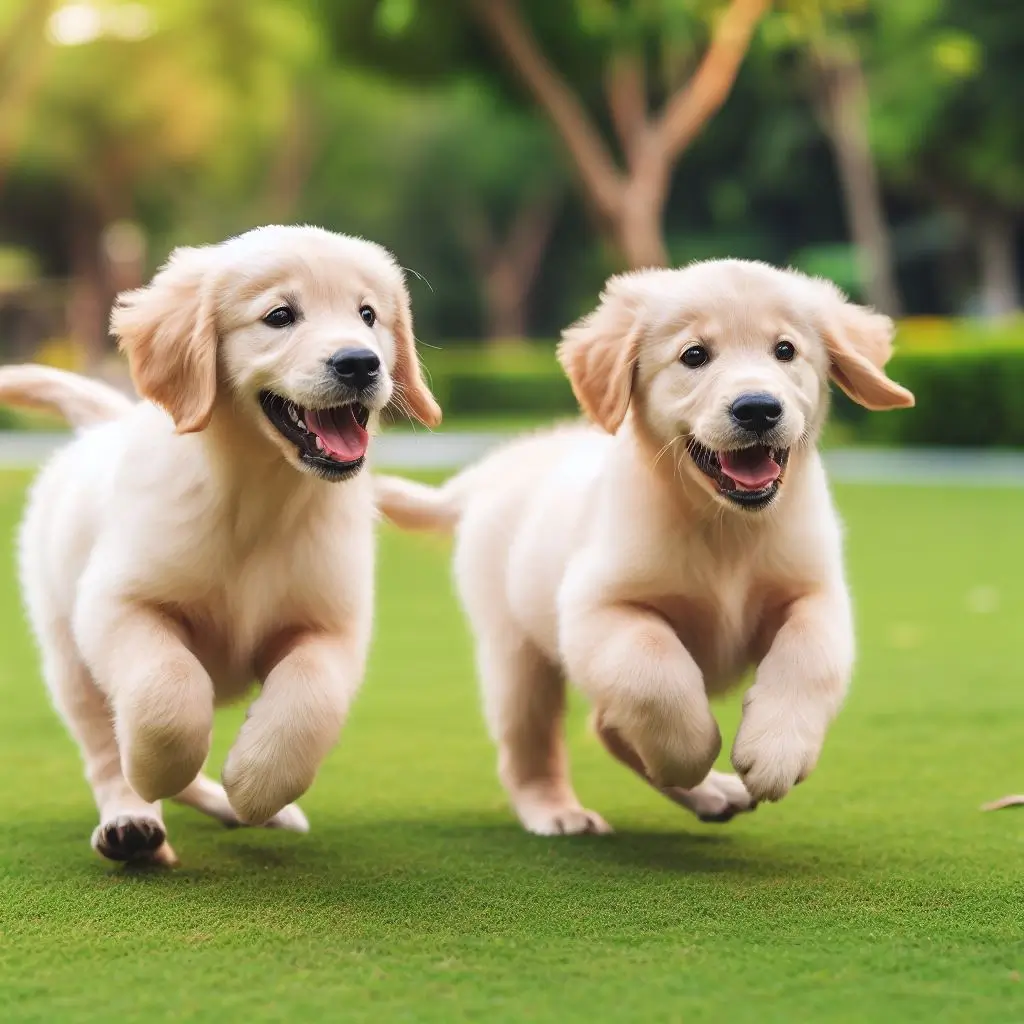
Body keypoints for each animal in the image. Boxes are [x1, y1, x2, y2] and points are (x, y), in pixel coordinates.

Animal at [0, 226, 440, 864]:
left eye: (368, 315)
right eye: (280, 315)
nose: (361, 362)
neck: (258, 496)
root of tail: (103, 425)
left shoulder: (331, 623)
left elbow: (310, 699)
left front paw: (257, 784)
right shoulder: (116, 602)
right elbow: (166, 694)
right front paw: (154, 770)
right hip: (67, 656)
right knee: (104, 748)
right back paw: (132, 820)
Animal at [376, 260, 913, 835]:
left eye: (785, 350)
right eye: (694, 355)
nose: (758, 408)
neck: (726, 529)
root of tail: (484, 475)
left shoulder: (816, 591)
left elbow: (809, 655)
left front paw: (776, 751)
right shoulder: (596, 606)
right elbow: (652, 669)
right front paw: (688, 751)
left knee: (606, 726)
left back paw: (711, 793)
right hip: (515, 649)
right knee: (534, 743)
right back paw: (560, 809)